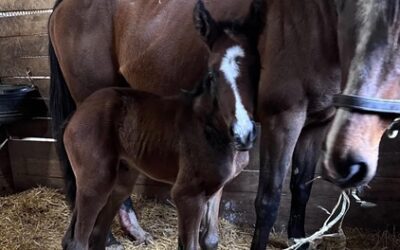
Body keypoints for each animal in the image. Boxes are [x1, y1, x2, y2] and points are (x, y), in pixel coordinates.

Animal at [48, 0, 264, 248]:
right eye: (211, 74)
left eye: (256, 71)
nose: (243, 133)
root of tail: (74, 118)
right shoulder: (186, 195)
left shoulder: (215, 189)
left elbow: (209, 240)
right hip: (96, 181)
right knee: (80, 239)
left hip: (119, 177)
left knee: (87, 234)